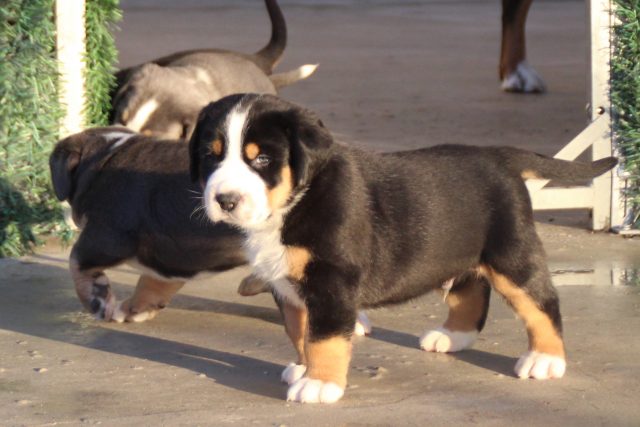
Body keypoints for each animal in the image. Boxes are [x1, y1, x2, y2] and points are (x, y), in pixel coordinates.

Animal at [190, 93, 620, 404]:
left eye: (262, 158)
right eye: (211, 156)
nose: (225, 200)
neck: (298, 199)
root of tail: (497, 155)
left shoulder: (331, 282)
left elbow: (324, 337)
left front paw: (319, 383)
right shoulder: (287, 287)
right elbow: (300, 332)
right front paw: (303, 366)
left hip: (510, 253)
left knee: (543, 303)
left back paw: (545, 360)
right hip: (460, 252)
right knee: (471, 291)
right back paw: (452, 336)